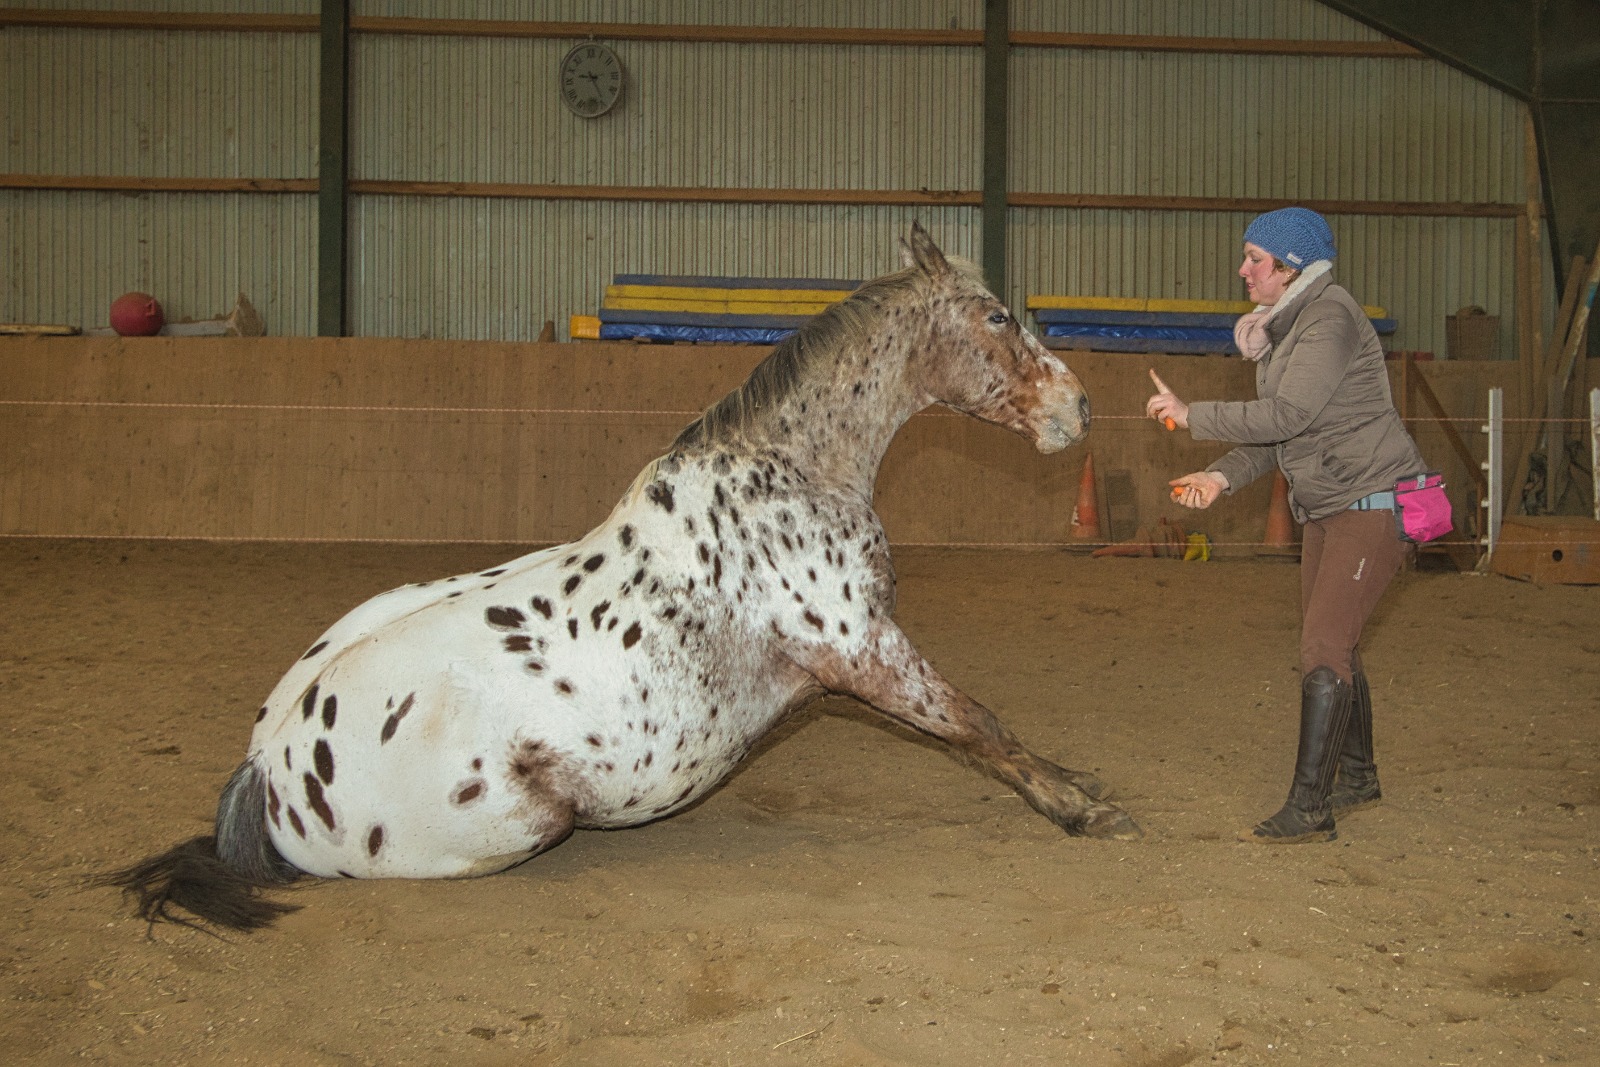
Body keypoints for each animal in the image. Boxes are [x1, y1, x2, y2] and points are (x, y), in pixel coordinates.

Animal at [103, 227, 1139, 934]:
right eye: (997, 315)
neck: (786, 476)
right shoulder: (860, 649)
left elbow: (973, 731)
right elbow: (978, 723)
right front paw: (1084, 807)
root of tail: (270, 770)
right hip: (525, 820)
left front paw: (1076, 788)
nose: (1079, 408)